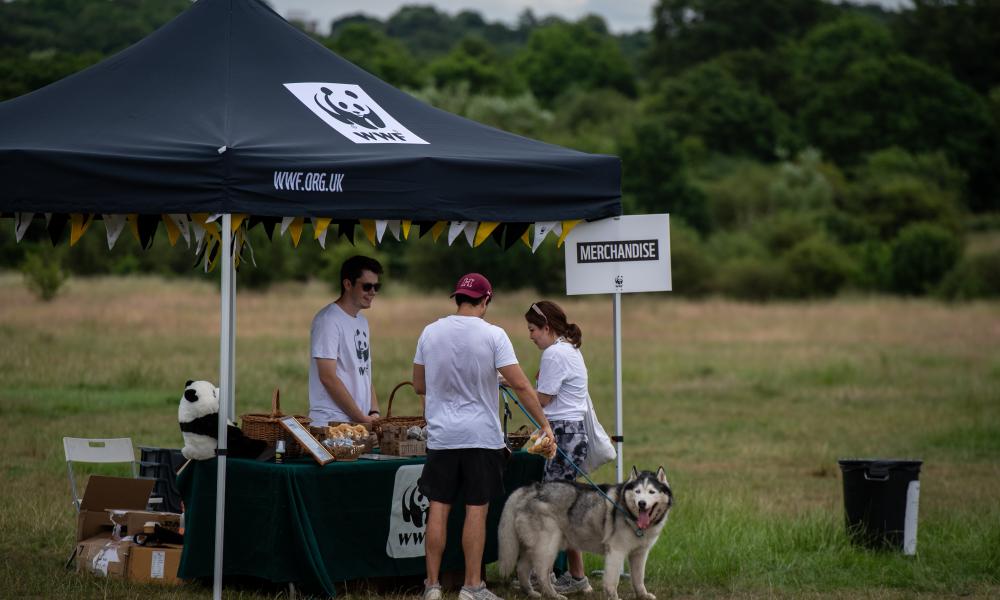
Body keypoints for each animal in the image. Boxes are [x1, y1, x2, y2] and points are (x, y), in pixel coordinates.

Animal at [498, 468, 672, 600]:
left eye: (651, 492)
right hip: (548, 546)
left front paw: (643, 595)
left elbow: (638, 578)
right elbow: (612, 581)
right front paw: (613, 597)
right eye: (637, 491)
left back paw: (531, 593)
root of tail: (531, 488)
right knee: (542, 574)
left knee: (522, 568)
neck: (631, 516)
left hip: (533, 546)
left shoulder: (640, 554)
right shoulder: (616, 551)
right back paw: (553, 595)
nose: (642, 503)